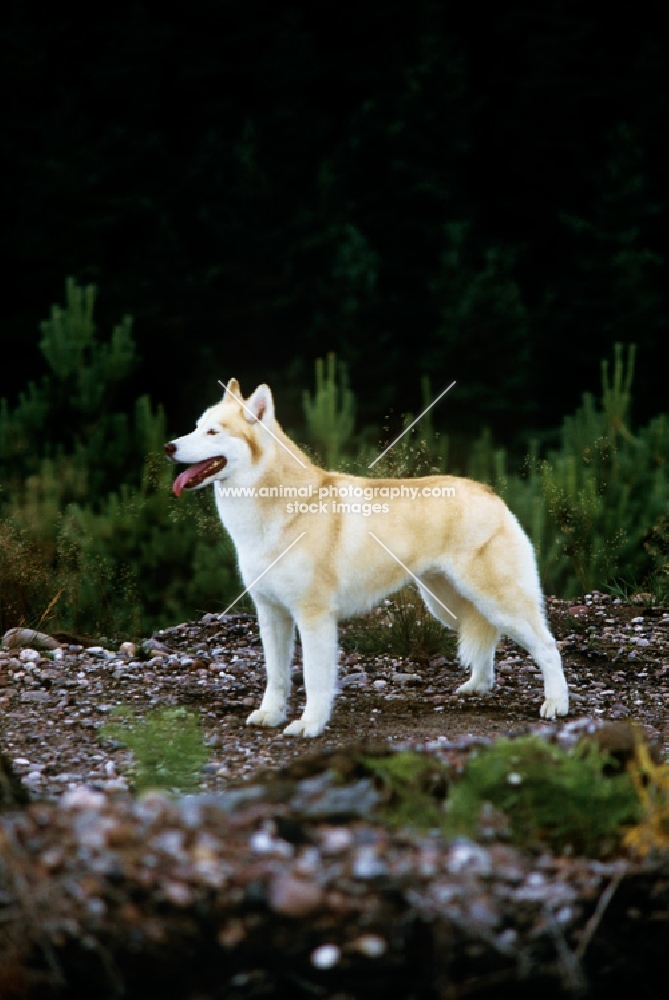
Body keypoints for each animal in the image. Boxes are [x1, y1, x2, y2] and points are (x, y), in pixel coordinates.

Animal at [164, 378, 568, 740]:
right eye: (197, 427)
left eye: (213, 432)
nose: (169, 446)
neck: (284, 508)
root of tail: (489, 493)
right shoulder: (271, 614)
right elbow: (276, 677)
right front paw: (270, 715)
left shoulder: (314, 618)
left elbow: (314, 679)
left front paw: (310, 725)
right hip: (450, 606)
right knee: (488, 640)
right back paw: (478, 686)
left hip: (497, 602)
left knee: (548, 648)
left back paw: (556, 704)